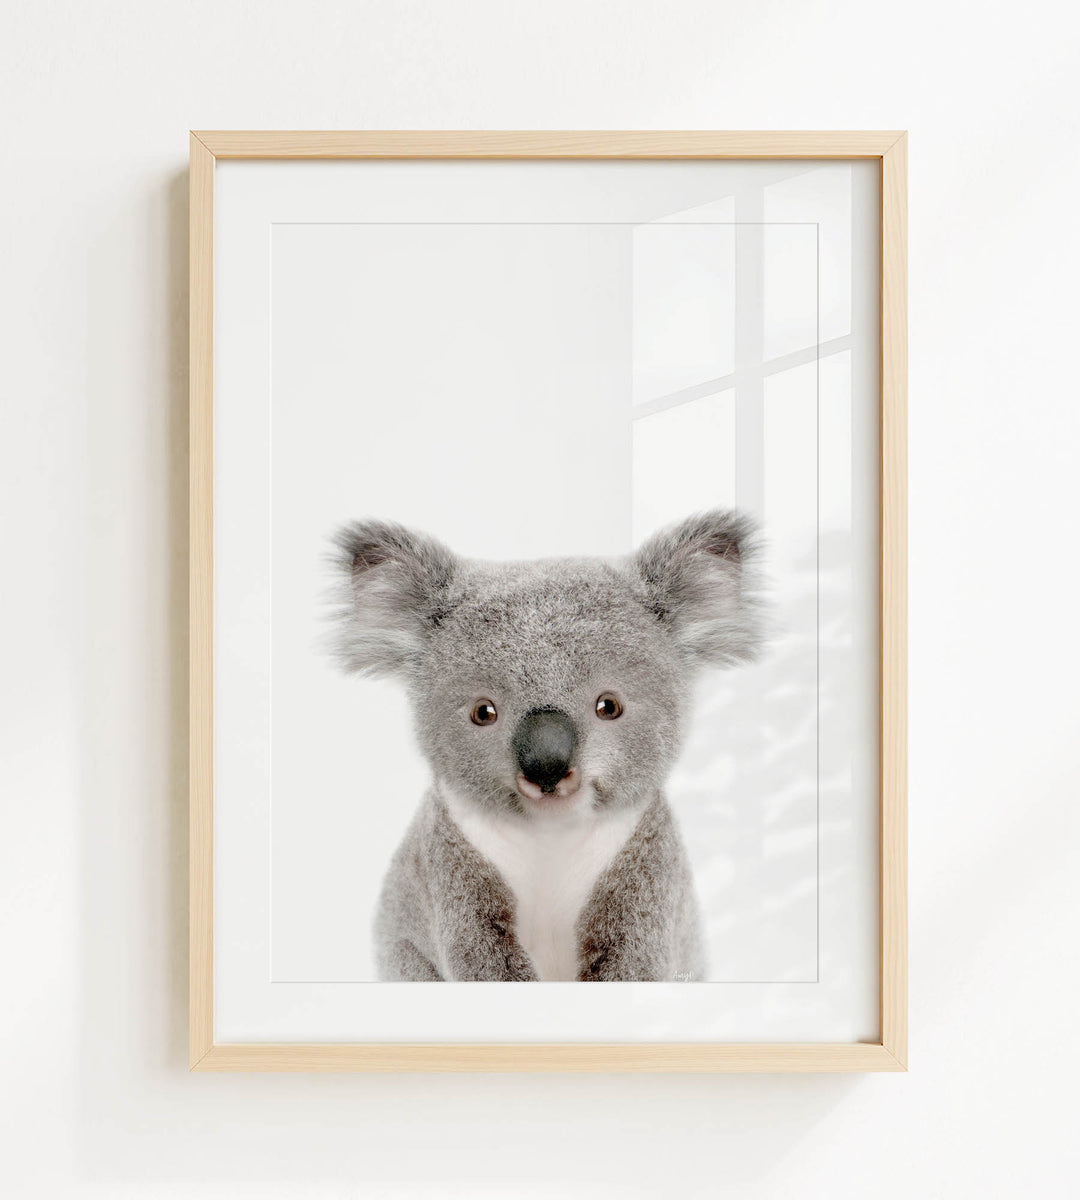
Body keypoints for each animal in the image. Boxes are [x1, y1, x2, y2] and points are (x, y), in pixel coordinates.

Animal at [327, 509, 764, 982]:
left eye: (609, 707)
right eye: (483, 712)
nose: (547, 766)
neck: (550, 836)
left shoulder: (647, 868)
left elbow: (633, 958)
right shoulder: (450, 867)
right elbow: (480, 956)